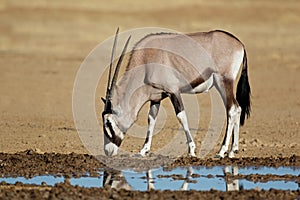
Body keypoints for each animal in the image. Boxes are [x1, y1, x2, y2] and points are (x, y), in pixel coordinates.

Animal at [101, 28, 251, 159]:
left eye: (108, 123)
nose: (108, 151)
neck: (146, 62)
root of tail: (240, 44)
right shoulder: (156, 97)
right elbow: (151, 119)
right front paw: (143, 150)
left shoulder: (174, 91)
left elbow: (181, 116)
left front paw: (191, 150)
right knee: (238, 108)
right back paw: (233, 150)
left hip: (223, 82)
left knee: (232, 109)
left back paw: (222, 151)